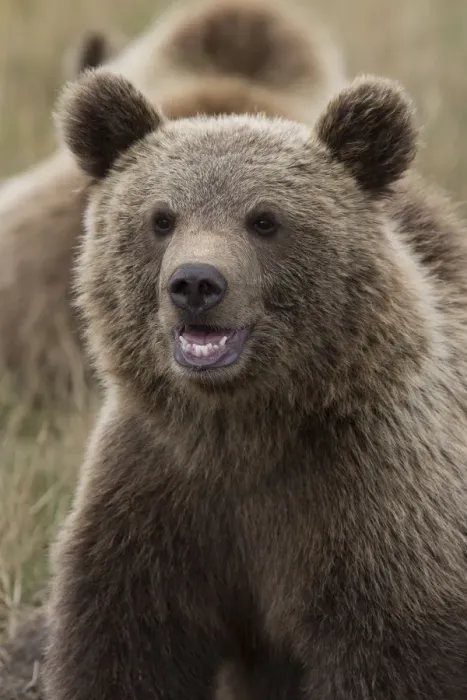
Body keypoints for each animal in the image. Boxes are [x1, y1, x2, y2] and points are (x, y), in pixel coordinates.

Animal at [41, 66, 467, 699]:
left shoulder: (374, 508)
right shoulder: (157, 496)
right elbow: (124, 646)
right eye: (161, 218)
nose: (195, 283)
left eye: (264, 219)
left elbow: (390, 656)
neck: (244, 429)